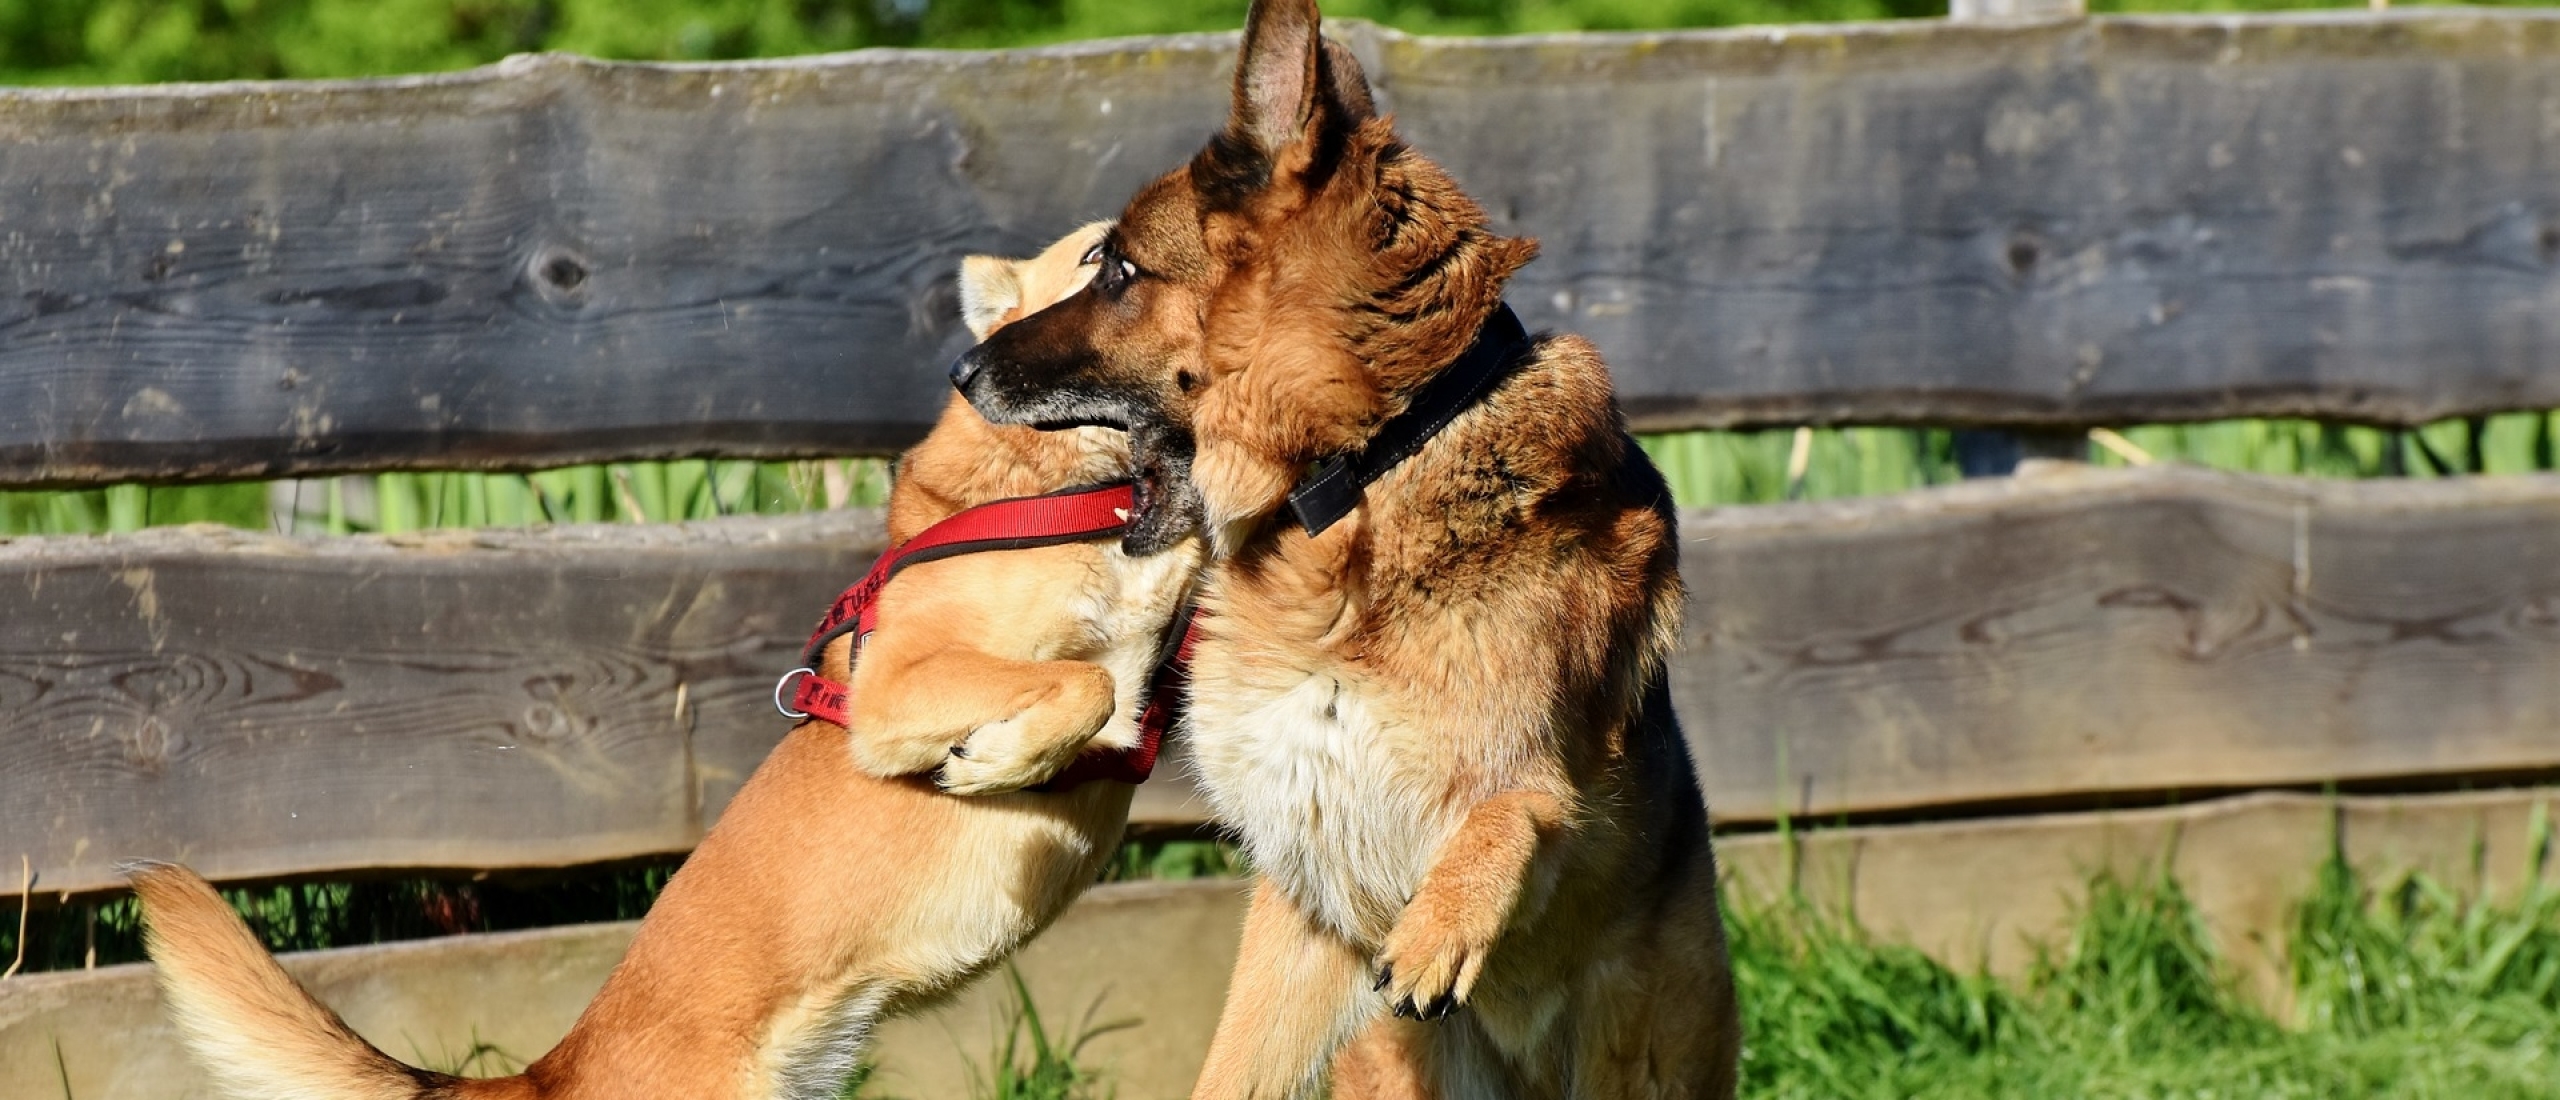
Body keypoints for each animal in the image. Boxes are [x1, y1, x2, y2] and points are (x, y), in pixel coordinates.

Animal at [135, 223, 1213, 1100]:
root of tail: (549, 1071)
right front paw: (1000, 759)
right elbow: (1084, 680)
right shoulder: (896, 692)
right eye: (1097, 256)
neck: (1057, 493)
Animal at [952, 4, 1751, 1094]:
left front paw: (1443, 926)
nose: (960, 368)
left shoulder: (1551, 793)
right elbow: (1230, 1067)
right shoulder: (1302, 903)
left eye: (1118, 272)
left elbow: (1518, 806)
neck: (1368, 469)